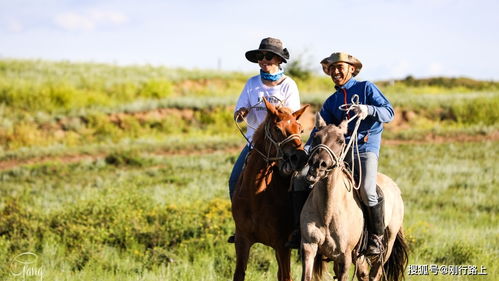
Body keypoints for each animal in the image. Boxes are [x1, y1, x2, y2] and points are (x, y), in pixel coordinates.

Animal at [232, 99, 310, 280]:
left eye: (300, 129)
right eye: (277, 129)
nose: (301, 158)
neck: (255, 195)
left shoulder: (282, 245)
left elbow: (285, 276)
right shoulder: (242, 241)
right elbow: (239, 274)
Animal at [298, 113, 408, 280]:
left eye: (340, 140)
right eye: (316, 137)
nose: (318, 164)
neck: (328, 211)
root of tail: (394, 186)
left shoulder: (345, 257)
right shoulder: (309, 247)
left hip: (387, 245)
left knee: (374, 274)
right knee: (363, 274)